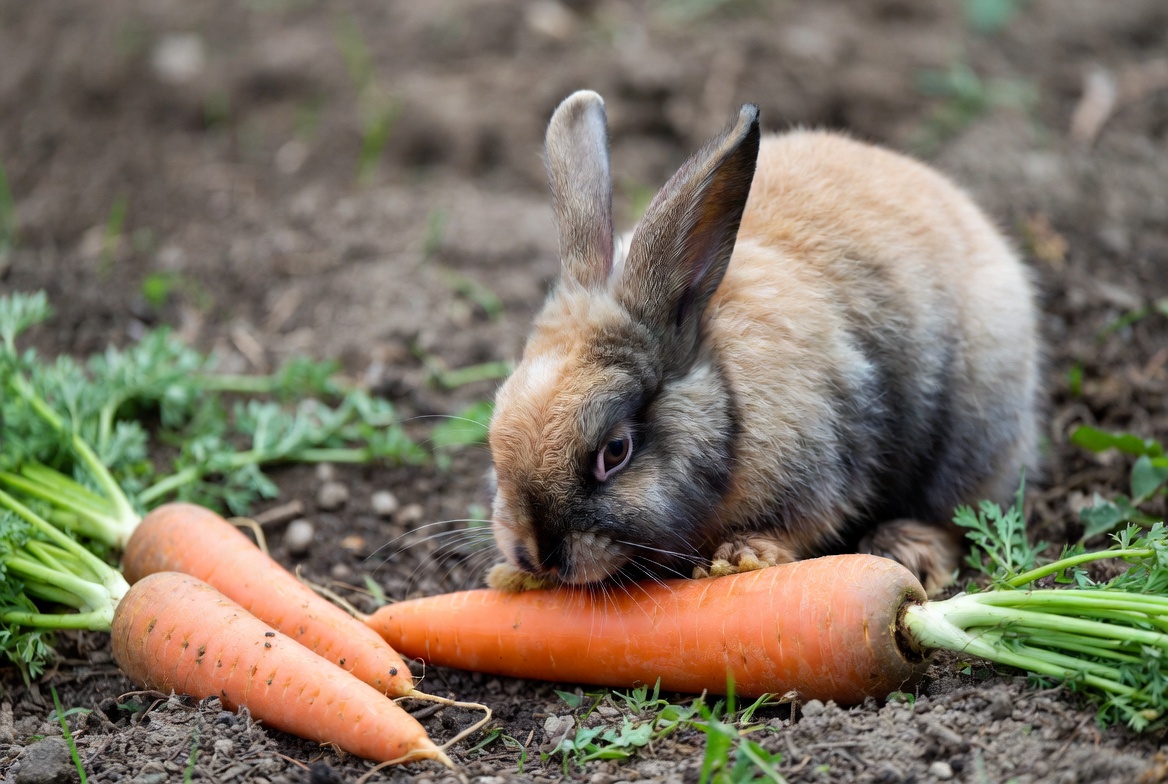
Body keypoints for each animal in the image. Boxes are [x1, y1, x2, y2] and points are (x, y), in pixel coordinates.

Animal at [485, 90, 1040, 595]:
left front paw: (739, 559)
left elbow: (809, 519)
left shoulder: (825, 464)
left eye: (615, 451)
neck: (729, 400)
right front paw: (509, 577)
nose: (537, 555)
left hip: (972, 433)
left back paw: (908, 550)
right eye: (496, 428)